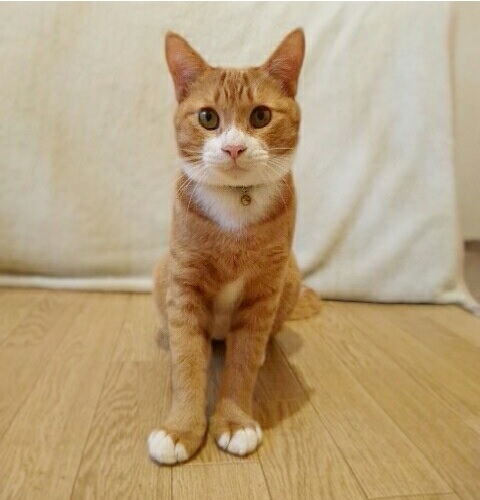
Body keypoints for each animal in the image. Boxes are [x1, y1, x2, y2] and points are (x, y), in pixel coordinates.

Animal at [148, 28, 319, 465]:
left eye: (260, 116)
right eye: (208, 117)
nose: (234, 148)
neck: (233, 210)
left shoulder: (263, 291)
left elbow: (243, 363)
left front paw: (235, 421)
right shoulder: (185, 286)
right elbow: (188, 362)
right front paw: (180, 430)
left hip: (291, 275)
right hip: (163, 270)